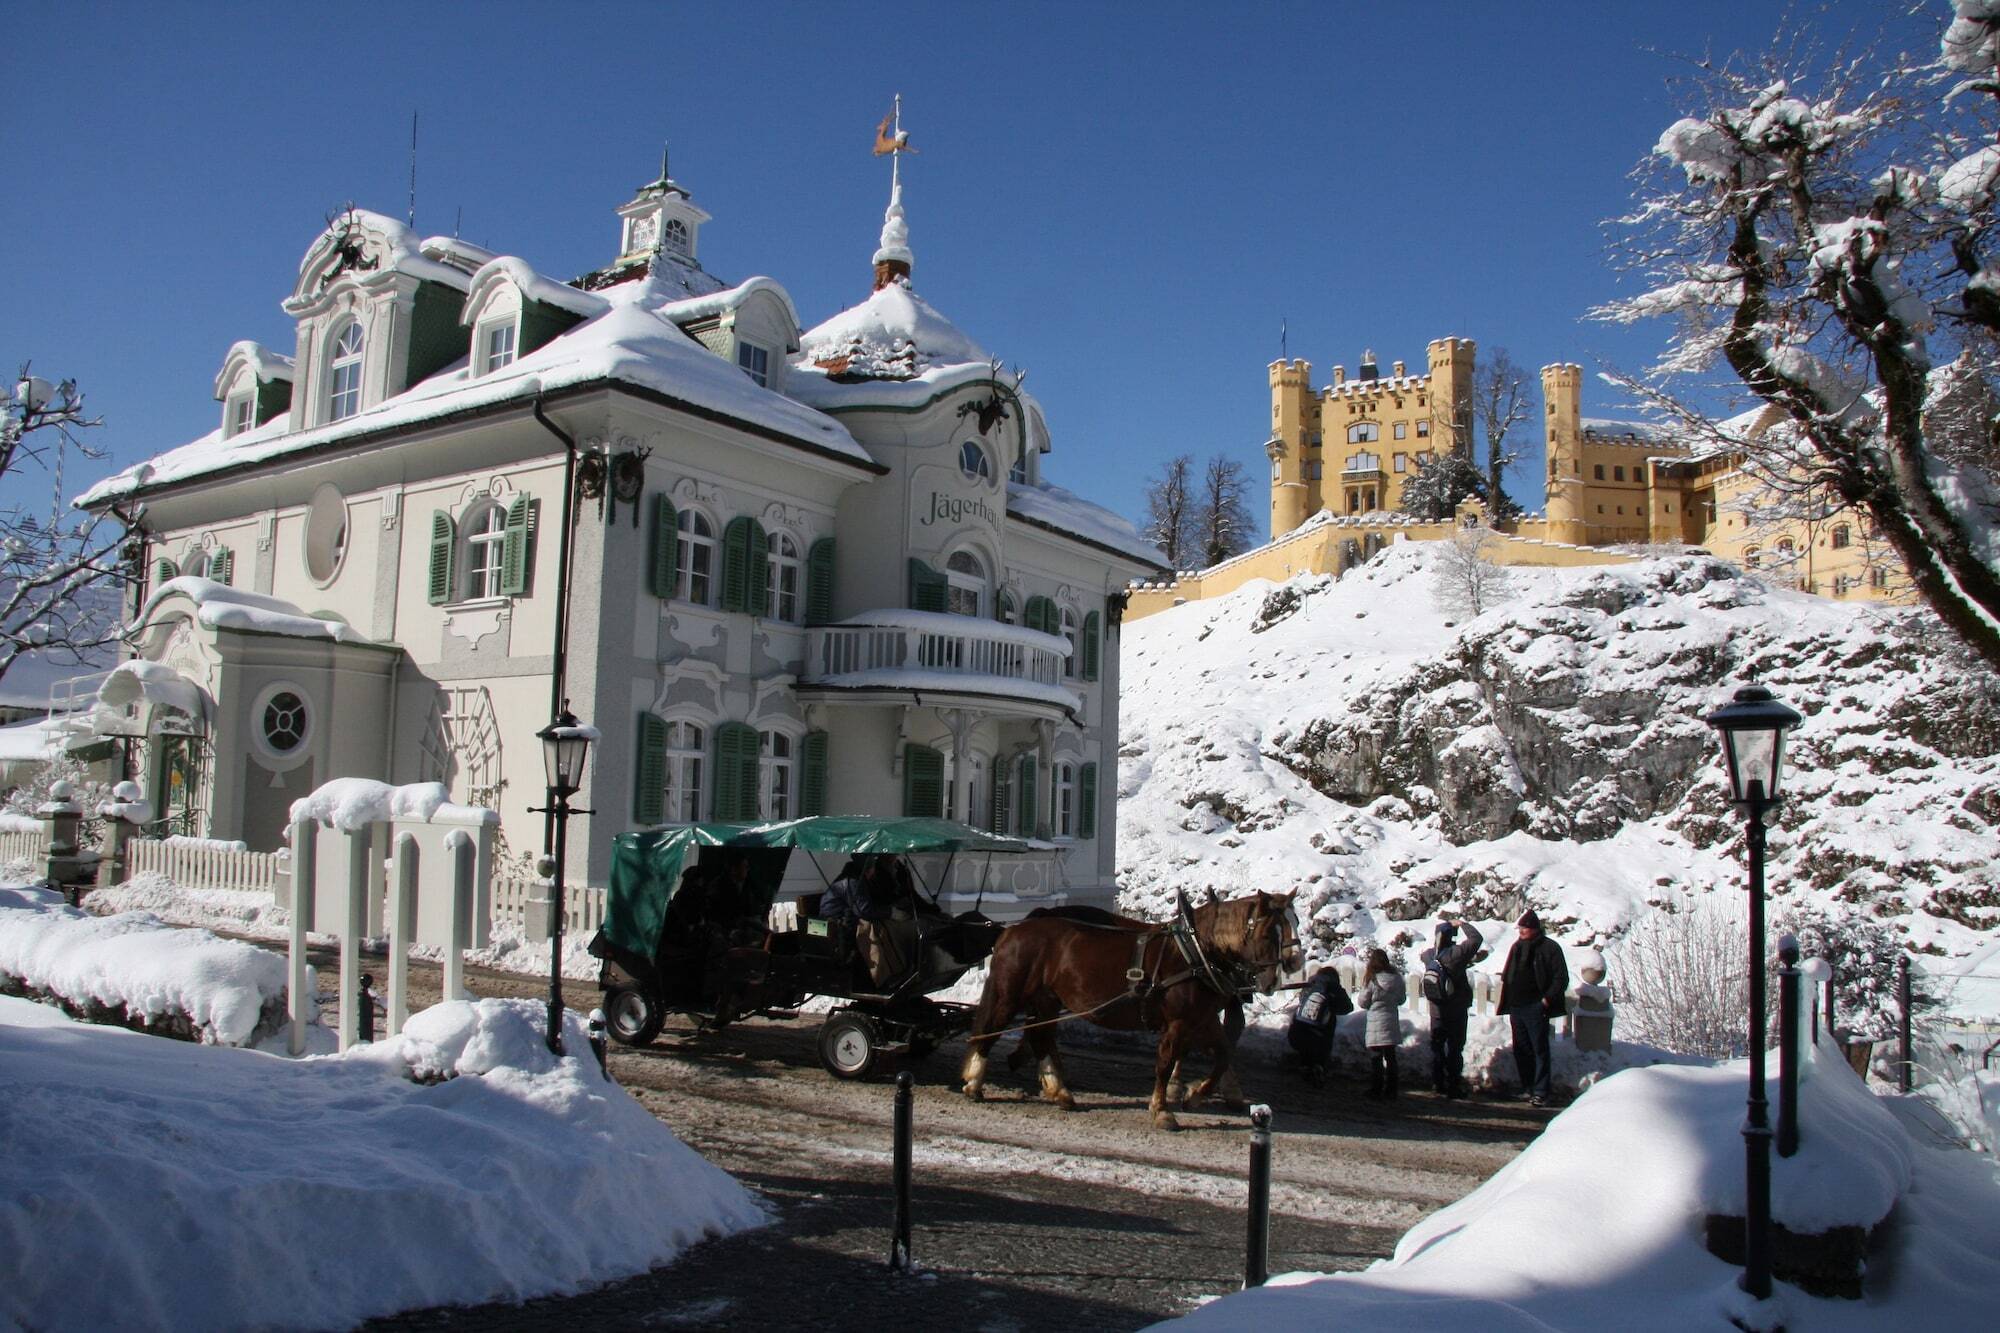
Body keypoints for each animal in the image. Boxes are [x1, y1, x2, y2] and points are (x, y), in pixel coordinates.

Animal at [960, 888, 1304, 1128]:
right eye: (1266, 933)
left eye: (1295, 923)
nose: (1285, 969)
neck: (1195, 952)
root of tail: (1015, 928)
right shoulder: (1179, 1022)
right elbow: (1165, 1062)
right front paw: (1163, 1110)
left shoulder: (1203, 1020)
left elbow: (1222, 1055)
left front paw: (1195, 1095)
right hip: (1010, 993)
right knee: (992, 1029)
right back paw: (975, 1082)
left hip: (1047, 1000)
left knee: (1041, 1037)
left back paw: (1059, 1091)